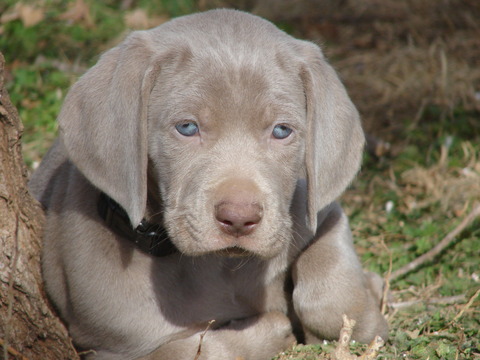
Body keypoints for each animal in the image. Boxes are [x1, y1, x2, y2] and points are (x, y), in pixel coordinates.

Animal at [30, 8, 388, 360]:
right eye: (187, 127)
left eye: (282, 130)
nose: (239, 218)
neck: (221, 266)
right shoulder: (110, 347)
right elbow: (189, 350)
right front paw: (274, 330)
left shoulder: (321, 211)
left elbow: (331, 296)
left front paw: (367, 303)